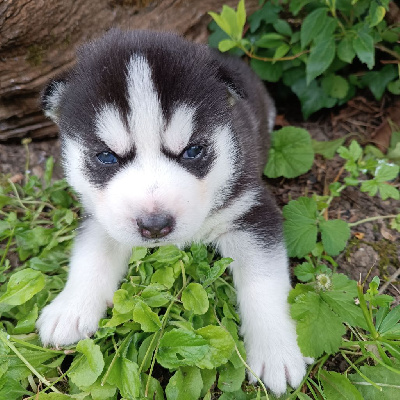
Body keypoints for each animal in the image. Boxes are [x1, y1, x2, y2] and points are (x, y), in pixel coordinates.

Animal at [37, 29, 310, 396]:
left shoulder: (250, 208)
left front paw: (276, 350)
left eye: (192, 151)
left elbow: (264, 283)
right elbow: (90, 257)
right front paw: (70, 309)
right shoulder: (101, 216)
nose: (155, 225)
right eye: (106, 156)